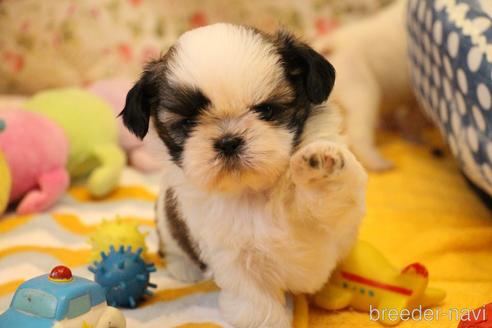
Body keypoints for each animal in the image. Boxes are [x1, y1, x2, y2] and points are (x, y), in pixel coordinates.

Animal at [121, 23, 368, 328]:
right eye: (188, 123)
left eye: (267, 110)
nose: (228, 141)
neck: (254, 189)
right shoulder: (234, 257)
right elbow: (256, 304)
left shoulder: (337, 218)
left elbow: (331, 201)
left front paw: (319, 166)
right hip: (167, 219)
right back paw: (184, 267)